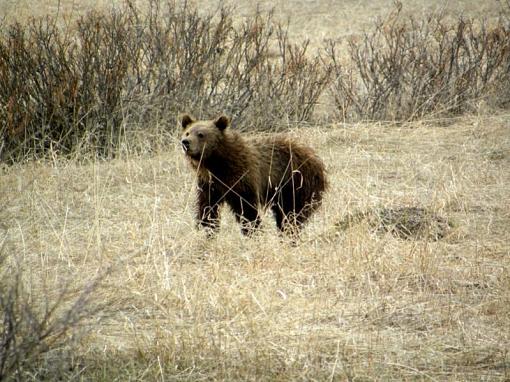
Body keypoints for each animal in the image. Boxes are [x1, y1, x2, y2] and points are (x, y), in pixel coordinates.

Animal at [181, 113, 328, 236]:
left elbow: (246, 208)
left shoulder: (242, 177)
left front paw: (253, 230)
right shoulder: (209, 183)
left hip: (296, 183)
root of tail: (316, 158)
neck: (216, 163)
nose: (185, 142)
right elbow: (207, 207)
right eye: (187, 132)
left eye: (201, 134)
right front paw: (206, 228)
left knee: (291, 214)